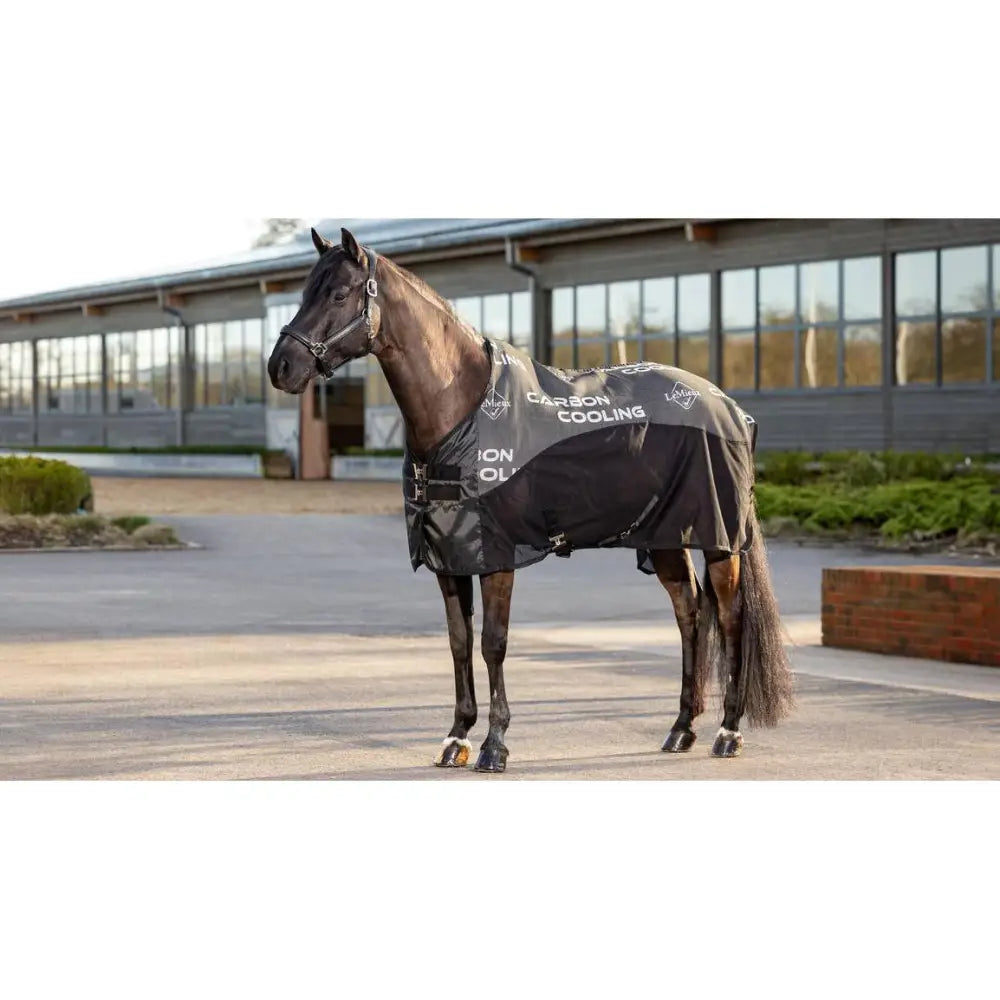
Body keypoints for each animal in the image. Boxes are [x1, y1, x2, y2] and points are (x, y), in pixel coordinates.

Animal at [267, 227, 794, 773]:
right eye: (305, 291)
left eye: (338, 294)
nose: (281, 367)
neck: (462, 410)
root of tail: (732, 410)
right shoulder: (450, 555)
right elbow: (459, 642)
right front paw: (456, 737)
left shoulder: (498, 555)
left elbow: (493, 643)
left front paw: (494, 745)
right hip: (667, 536)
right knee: (689, 614)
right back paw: (681, 728)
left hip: (718, 540)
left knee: (731, 620)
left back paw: (728, 732)